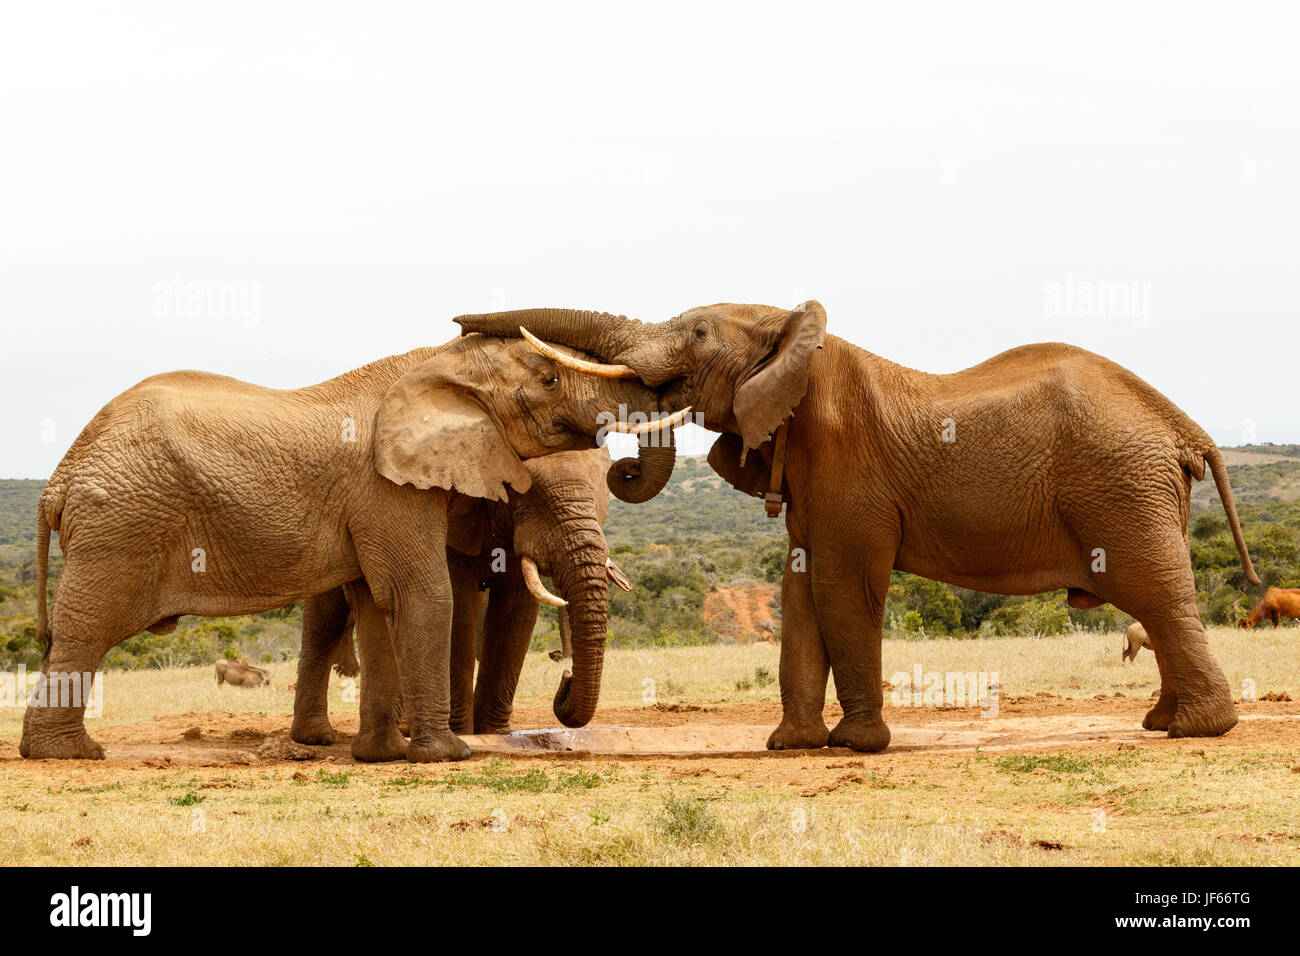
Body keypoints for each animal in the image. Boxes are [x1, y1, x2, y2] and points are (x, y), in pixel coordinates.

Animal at [288, 447, 629, 749]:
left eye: (601, 490)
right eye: (524, 491)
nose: (565, 674)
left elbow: (516, 614)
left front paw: (494, 733)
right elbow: (456, 606)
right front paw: (463, 732)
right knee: (326, 623)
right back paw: (318, 737)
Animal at [457, 299, 1258, 749]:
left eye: (697, 332)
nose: (461, 323)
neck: (794, 341)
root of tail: (1182, 425)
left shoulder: (847, 467)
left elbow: (843, 587)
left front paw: (856, 745)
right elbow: (801, 589)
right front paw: (790, 745)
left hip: (1120, 486)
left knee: (1156, 593)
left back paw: (1197, 731)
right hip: (1135, 488)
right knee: (1154, 599)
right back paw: (1163, 724)